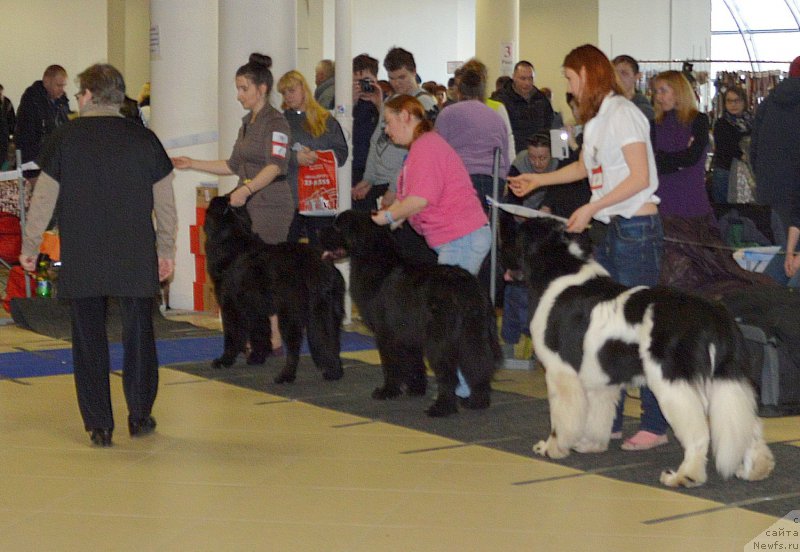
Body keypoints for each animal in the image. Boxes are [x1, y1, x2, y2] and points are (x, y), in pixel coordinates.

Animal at [203, 197, 344, 384]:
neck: (229, 239)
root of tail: (324, 268)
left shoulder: (231, 306)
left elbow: (233, 336)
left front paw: (224, 360)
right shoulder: (254, 309)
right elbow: (259, 334)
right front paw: (257, 358)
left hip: (290, 314)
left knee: (294, 349)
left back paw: (286, 376)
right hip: (325, 314)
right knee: (331, 341)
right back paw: (333, 373)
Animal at [320, 209, 500, 416]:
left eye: (337, 227)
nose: (318, 231)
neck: (375, 259)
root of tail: (467, 286)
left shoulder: (386, 332)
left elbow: (390, 365)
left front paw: (387, 391)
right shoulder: (409, 332)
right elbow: (414, 363)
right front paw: (416, 389)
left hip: (440, 341)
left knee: (449, 375)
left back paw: (441, 408)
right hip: (472, 336)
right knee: (479, 366)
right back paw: (477, 402)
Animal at [516, 217, 772, 488]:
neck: (559, 265)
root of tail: (712, 310)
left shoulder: (560, 372)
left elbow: (561, 417)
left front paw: (551, 448)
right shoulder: (599, 378)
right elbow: (598, 415)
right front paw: (590, 445)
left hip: (671, 383)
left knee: (699, 432)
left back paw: (683, 476)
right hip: (725, 378)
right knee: (747, 424)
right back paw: (756, 469)